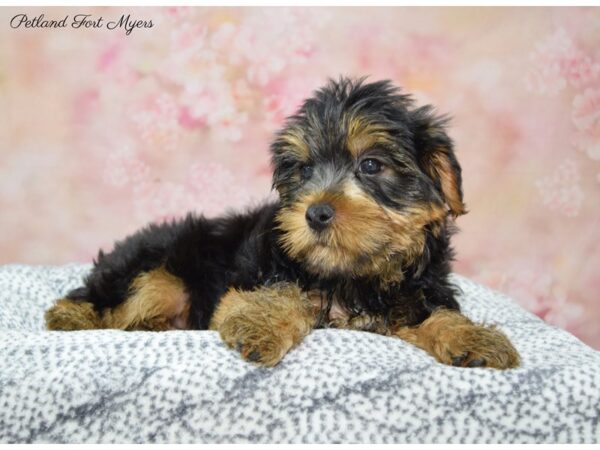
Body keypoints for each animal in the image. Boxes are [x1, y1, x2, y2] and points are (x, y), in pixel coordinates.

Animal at [44, 75, 516, 368]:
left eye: (371, 165)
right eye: (303, 171)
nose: (315, 212)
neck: (353, 274)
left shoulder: (414, 294)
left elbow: (438, 315)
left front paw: (474, 339)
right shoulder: (252, 282)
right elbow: (278, 295)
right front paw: (262, 325)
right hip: (155, 266)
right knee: (103, 297)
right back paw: (71, 318)